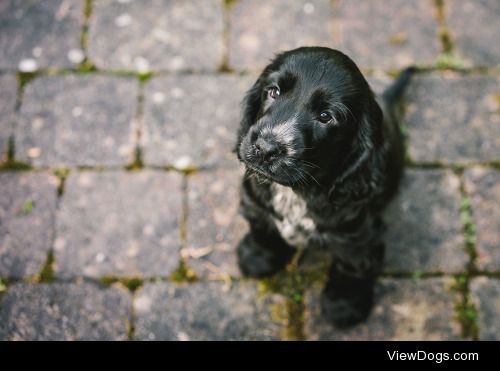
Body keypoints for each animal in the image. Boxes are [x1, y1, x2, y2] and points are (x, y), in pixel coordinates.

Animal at [235, 47, 414, 328]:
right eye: (273, 91)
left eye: (325, 117)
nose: (264, 148)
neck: (297, 191)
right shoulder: (255, 198)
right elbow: (261, 226)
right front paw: (256, 257)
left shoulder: (359, 235)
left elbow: (351, 267)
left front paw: (343, 305)